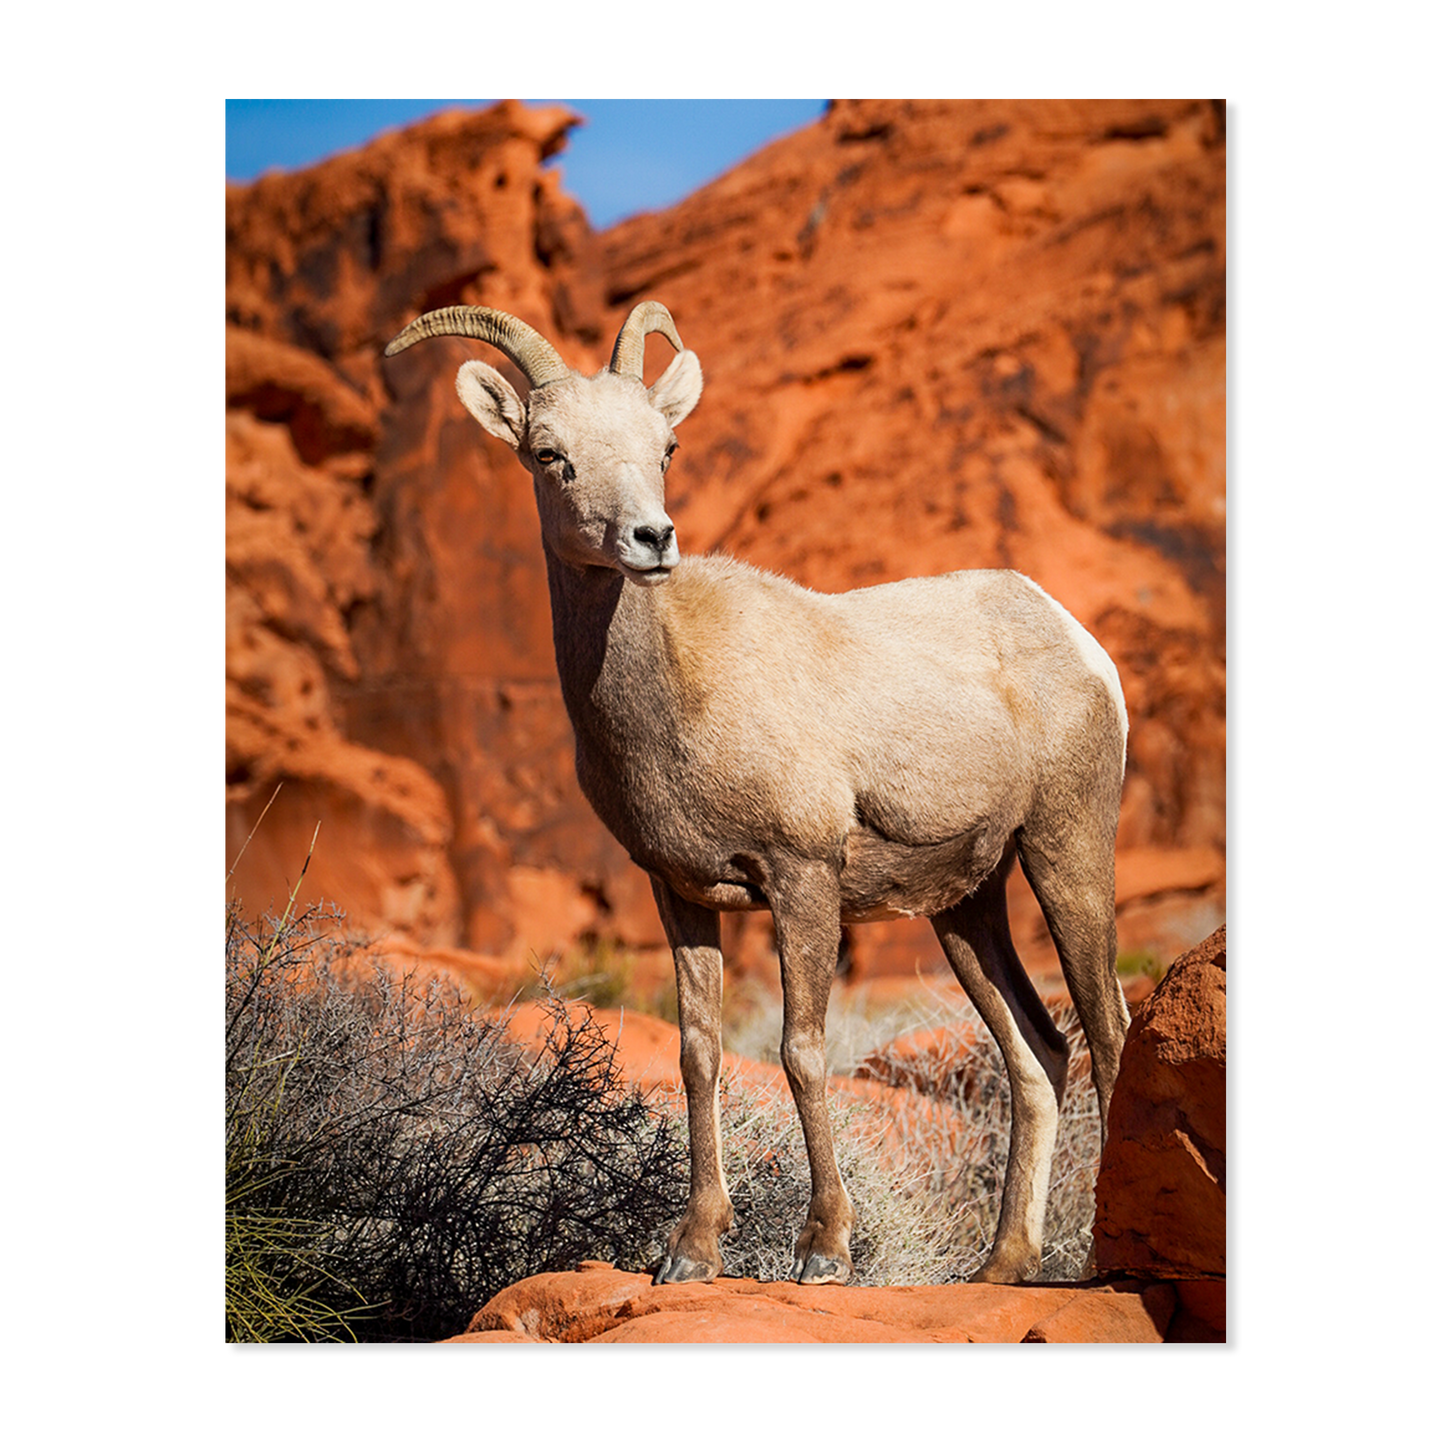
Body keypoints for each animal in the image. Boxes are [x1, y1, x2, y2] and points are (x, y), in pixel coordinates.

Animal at [390, 302, 1132, 1288]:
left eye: (665, 445)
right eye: (550, 454)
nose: (651, 539)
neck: (680, 695)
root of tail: (1071, 634)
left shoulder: (801, 877)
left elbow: (799, 1050)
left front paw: (823, 1249)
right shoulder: (679, 892)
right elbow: (698, 1053)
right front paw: (692, 1250)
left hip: (1065, 851)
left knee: (1108, 1027)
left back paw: (1101, 1257)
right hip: (966, 906)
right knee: (1039, 1050)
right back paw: (1001, 1266)